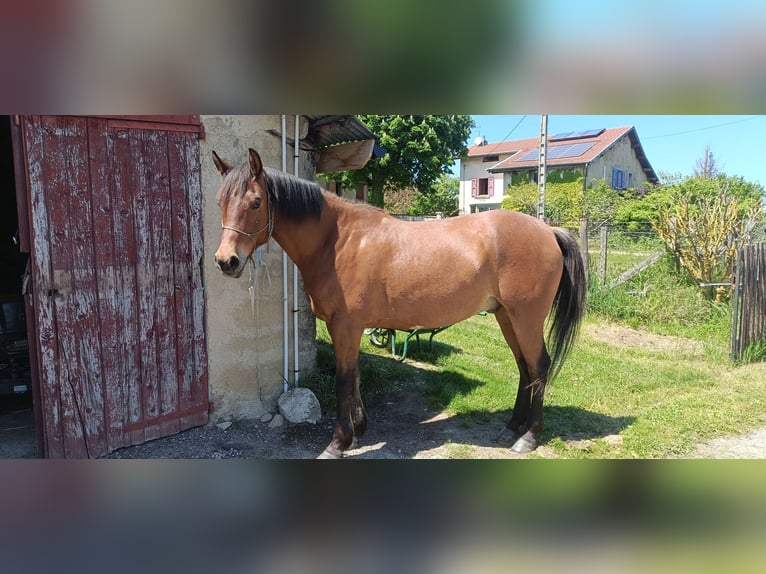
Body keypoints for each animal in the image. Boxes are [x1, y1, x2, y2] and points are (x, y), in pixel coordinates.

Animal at [213, 148, 584, 460]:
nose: (226, 261)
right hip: (506, 317)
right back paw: (511, 427)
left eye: (256, 202)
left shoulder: (345, 325)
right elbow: (355, 377)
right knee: (525, 368)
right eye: (219, 201)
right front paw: (358, 431)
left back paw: (529, 437)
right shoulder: (349, 328)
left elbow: (343, 380)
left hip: (526, 318)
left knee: (539, 366)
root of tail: (548, 231)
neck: (337, 242)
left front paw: (337, 443)